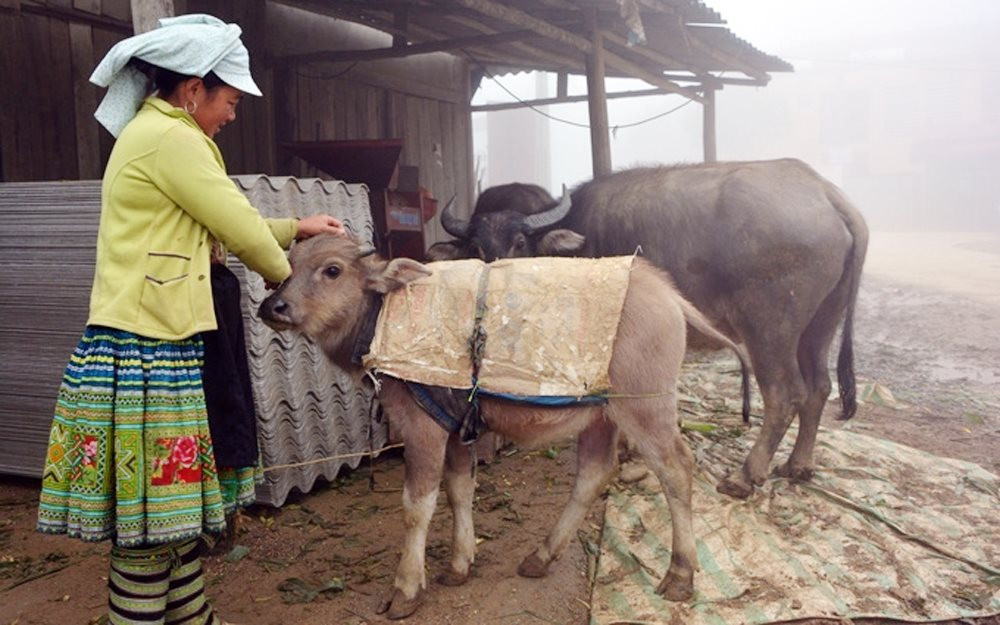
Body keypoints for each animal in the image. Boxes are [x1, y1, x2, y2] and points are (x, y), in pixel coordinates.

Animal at [432, 160, 868, 498]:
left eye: (521, 241)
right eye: (475, 247)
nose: (492, 288)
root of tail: (826, 193)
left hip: (769, 329)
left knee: (784, 394)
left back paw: (745, 476)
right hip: (820, 325)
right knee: (819, 387)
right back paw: (799, 465)